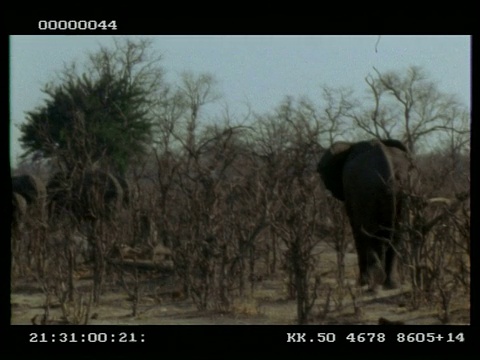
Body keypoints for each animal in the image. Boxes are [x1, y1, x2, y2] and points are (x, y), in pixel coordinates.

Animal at [316, 139, 414, 288]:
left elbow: (357, 230)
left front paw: (363, 282)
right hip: (403, 190)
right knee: (395, 235)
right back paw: (390, 284)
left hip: (369, 192)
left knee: (367, 233)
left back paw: (371, 282)